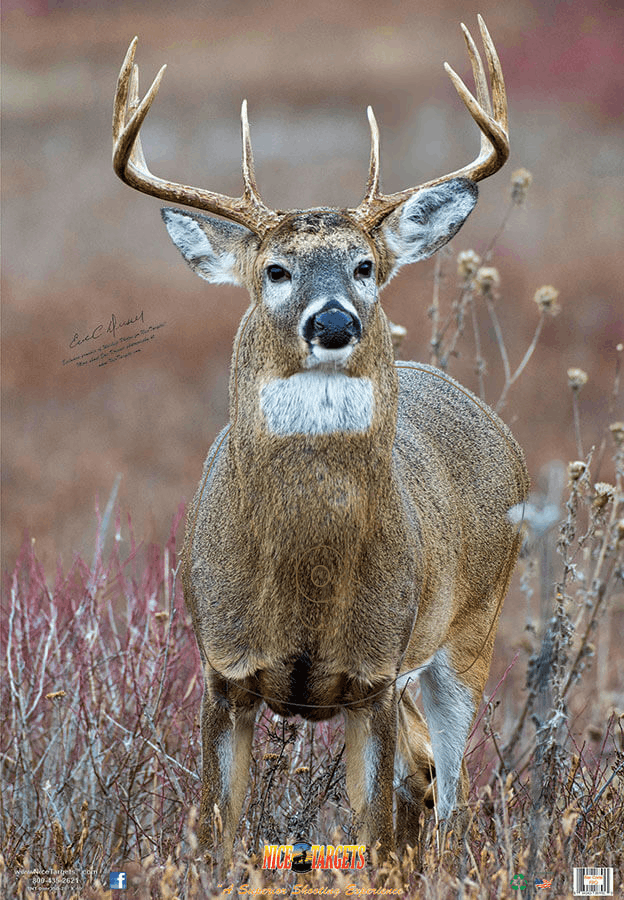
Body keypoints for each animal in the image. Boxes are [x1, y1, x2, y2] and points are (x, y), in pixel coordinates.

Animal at [112, 16, 528, 870]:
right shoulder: (223, 671)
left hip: (469, 632)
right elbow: (218, 832)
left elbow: (373, 837)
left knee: (447, 790)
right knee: (424, 776)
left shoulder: (373, 677)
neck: (303, 587)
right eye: (275, 270)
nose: (333, 320)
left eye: (366, 265)